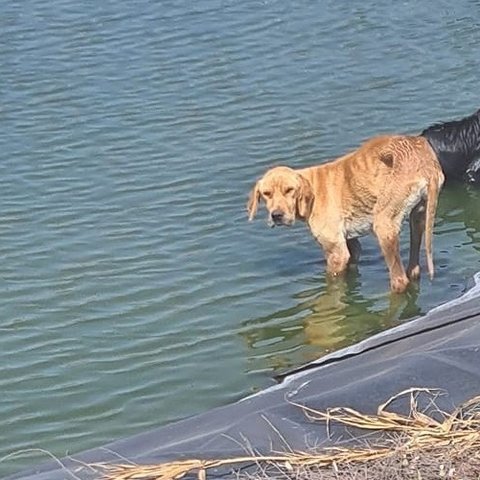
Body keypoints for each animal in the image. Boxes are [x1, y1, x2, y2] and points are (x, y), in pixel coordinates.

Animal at [249, 135, 444, 292]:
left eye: (289, 190)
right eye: (266, 193)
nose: (276, 215)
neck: (313, 191)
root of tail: (426, 163)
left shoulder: (336, 252)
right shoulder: (351, 245)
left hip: (383, 226)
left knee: (400, 280)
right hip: (419, 216)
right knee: (414, 268)